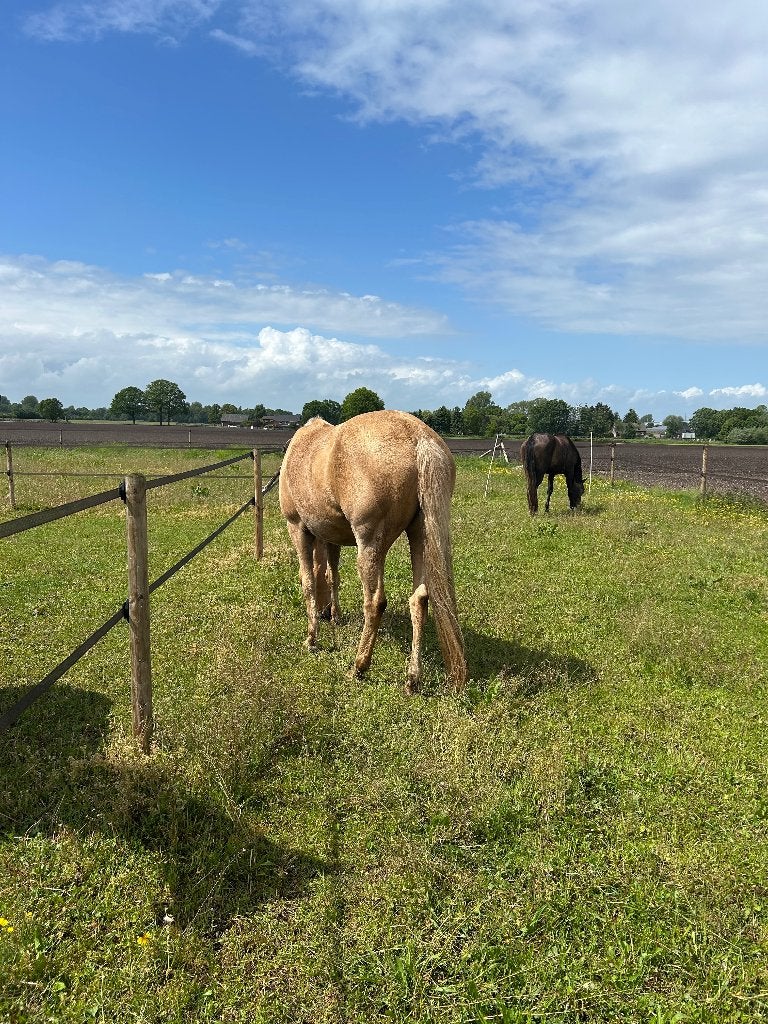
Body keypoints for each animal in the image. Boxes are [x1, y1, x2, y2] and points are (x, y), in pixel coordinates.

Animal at [278, 410, 467, 693]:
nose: (324, 614)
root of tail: (418, 437)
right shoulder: (331, 537)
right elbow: (332, 576)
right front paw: (334, 615)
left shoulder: (298, 529)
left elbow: (309, 581)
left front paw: (312, 637)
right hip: (420, 535)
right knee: (419, 599)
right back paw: (412, 678)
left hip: (370, 546)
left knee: (375, 602)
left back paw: (359, 666)